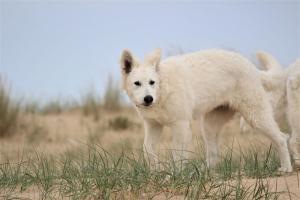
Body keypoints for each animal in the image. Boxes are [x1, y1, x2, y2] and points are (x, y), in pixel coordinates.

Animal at [120, 48, 292, 172]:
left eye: (152, 82)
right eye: (137, 83)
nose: (148, 98)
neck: (162, 90)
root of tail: (254, 68)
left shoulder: (181, 125)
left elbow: (177, 155)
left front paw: (176, 175)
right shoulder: (153, 126)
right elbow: (147, 150)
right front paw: (155, 172)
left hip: (256, 116)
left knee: (282, 138)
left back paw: (286, 168)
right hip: (208, 126)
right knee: (214, 154)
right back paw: (202, 173)